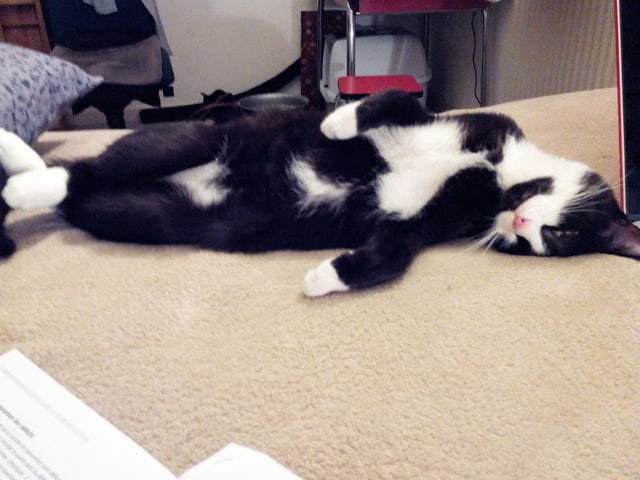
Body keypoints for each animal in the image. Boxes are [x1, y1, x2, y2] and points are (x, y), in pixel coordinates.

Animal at [1, 90, 639, 296]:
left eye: (549, 242)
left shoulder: (423, 223)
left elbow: (391, 256)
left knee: (84, 195)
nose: (522, 227)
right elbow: (397, 99)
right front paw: (336, 122)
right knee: (96, 163)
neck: (493, 180)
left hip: (149, 214)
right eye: (564, 229)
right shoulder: (469, 122)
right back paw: (26, 171)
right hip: (195, 137)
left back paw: (26, 184)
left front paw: (323, 277)